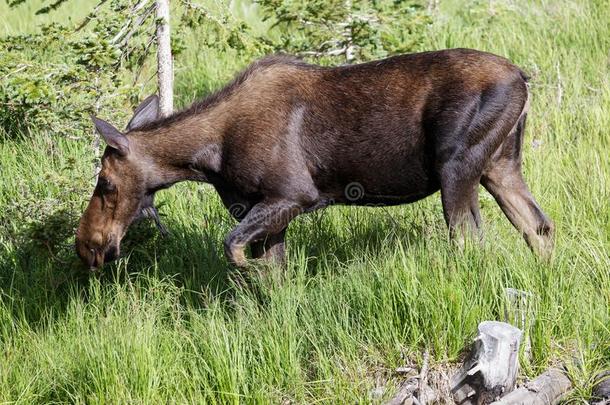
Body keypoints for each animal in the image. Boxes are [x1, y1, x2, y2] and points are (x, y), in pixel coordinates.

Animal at [75, 48, 552, 268]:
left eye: (106, 184)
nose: (87, 246)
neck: (207, 158)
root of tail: (524, 79)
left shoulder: (294, 195)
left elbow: (235, 251)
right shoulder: (269, 209)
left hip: (457, 168)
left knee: (472, 241)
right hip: (499, 165)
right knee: (539, 227)